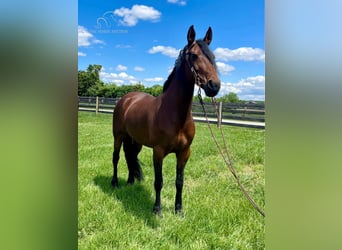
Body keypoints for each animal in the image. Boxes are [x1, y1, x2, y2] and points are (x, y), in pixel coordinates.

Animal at [111, 24, 220, 215]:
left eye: (212, 57)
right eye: (194, 55)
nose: (214, 86)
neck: (176, 115)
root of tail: (126, 99)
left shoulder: (184, 153)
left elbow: (179, 182)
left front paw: (179, 210)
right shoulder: (158, 152)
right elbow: (159, 182)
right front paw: (157, 210)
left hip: (135, 141)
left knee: (130, 157)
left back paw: (131, 182)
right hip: (118, 136)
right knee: (116, 157)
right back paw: (115, 183)